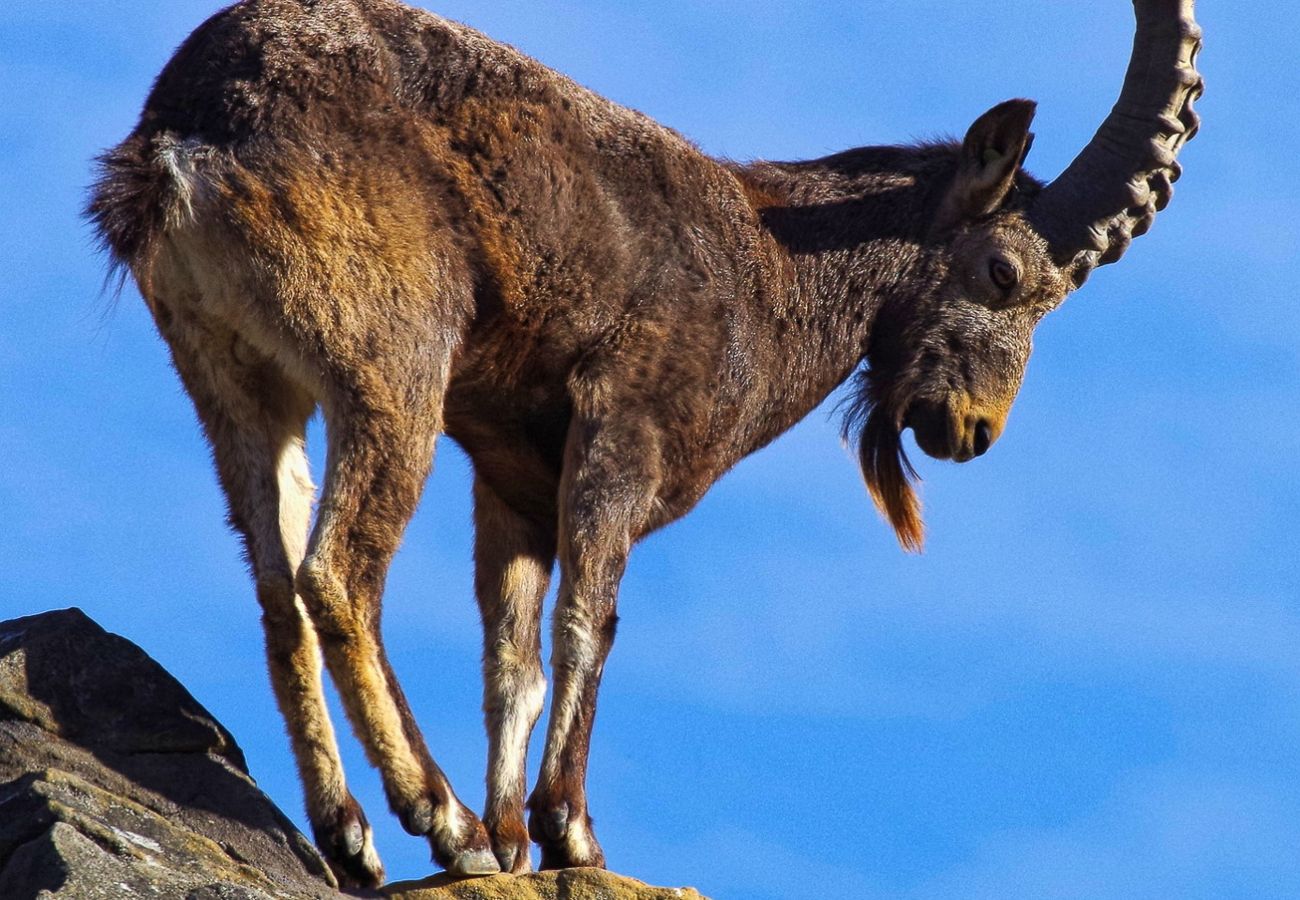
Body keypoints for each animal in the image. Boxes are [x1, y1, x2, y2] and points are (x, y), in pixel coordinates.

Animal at [89, 0, 1196, 884]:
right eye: (1004, 273)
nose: (972, 430)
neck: (771, 264)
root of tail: (185, 137)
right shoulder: (625, 431)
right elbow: (590, 623)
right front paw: (565, 834)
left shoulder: (512, 475)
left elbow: (512, 659)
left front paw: (516, 840)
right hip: (391, 362)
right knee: (338, 574)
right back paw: (440, 822)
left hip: (238, 381)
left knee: (278, 590)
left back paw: (355, 836)